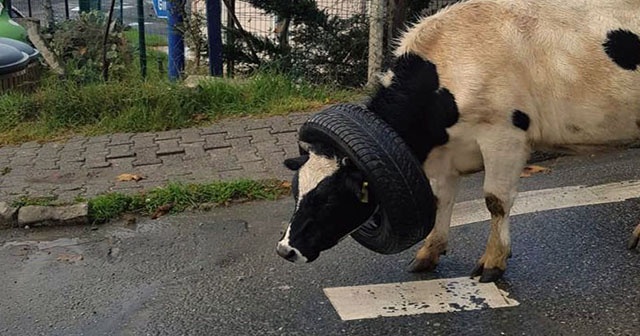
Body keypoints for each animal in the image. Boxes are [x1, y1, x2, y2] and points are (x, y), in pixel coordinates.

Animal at [276, 0, 640, 282]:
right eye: (296, 190)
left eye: (327, 199)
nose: (285, 249)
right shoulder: (443, 153)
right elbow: (440, 200)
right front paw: (428, 253)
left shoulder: (504, 137)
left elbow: (495, 200)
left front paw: (493, 262)